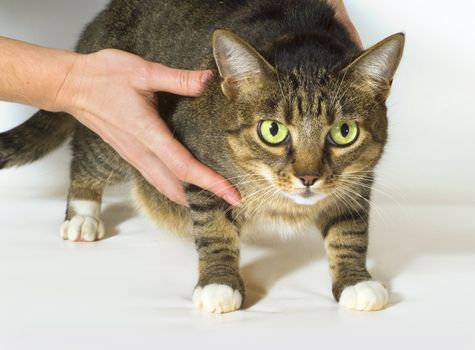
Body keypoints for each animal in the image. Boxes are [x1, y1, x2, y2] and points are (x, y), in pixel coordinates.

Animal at [0, 0, 406, 312]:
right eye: (272, 131)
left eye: (344, 132)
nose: (308, 178)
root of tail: (97, 27)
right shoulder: (199, 164)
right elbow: (214, 228)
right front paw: (219, 283)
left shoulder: (357, 180)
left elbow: (350, 229)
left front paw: (355, 281)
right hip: (113, 137)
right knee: (85, 159)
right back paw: (82, 215)